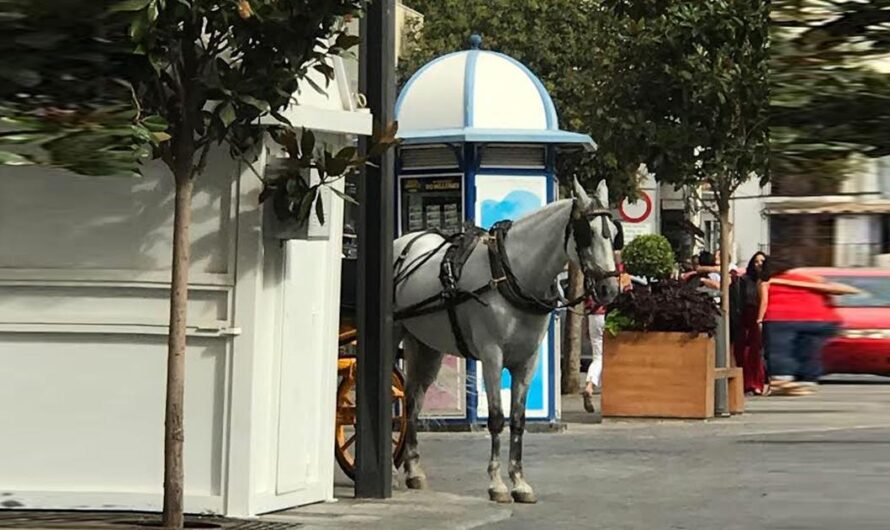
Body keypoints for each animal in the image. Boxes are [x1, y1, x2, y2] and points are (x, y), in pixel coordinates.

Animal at [392, 179, 620, 502]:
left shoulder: (528, 361)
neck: (512, 274)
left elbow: (518, 419)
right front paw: (496, 483)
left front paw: (519, 482)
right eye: (585, 233)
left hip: (426, 346)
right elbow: (498, 418)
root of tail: (404, 242)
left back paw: (413, 470)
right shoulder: (491, 357)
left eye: (613, 233)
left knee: (413, 401)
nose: (609, 289)